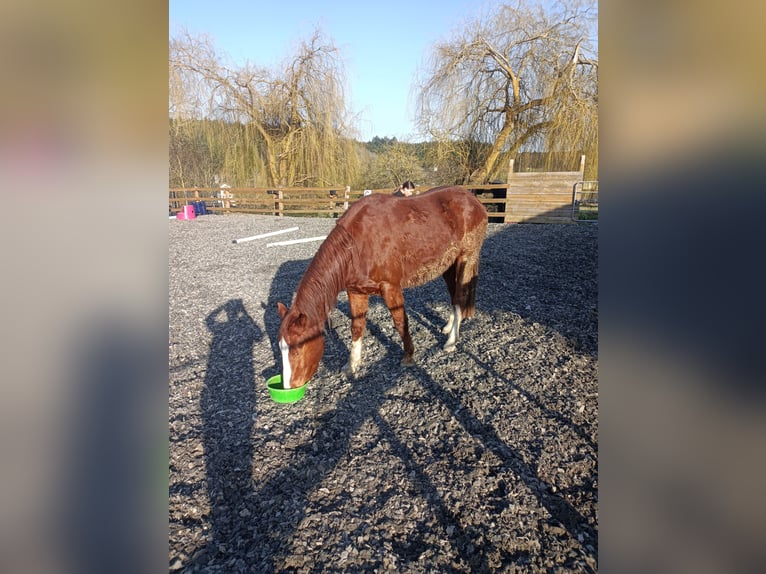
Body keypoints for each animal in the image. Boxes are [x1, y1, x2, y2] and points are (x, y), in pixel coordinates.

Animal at [276, 185, 488, 389]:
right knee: (453, 295)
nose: (289, 386)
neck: (356, 246)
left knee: (460, 295)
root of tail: (474, 200)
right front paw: (352, 364)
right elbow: (357, 327)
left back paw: (451, 340)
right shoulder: (356, 292)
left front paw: (408, 355)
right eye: (281, 347)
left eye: (297, 348)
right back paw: (449, 327)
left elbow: (400, 322)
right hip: (448, 265)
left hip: (465, 258)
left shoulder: (391, 288)